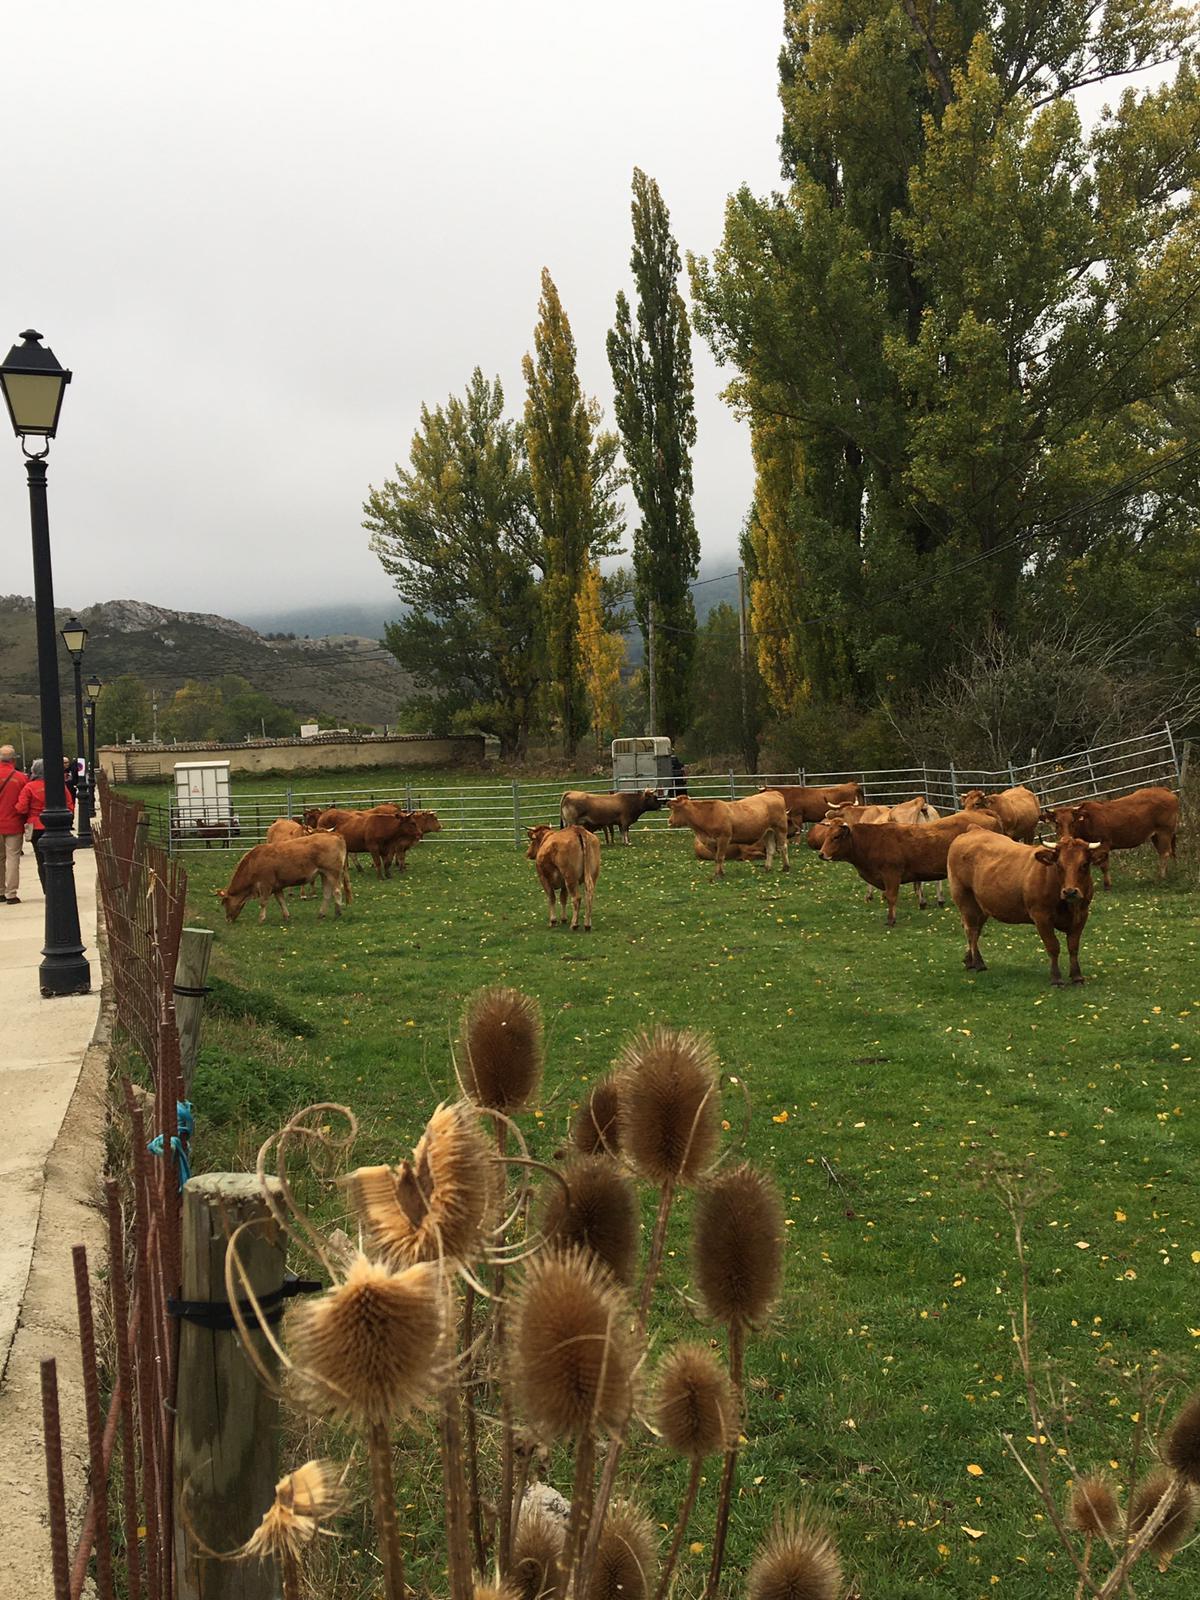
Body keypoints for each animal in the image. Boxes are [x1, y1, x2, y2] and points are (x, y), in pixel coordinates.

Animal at [214, 825, 350, 928]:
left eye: (224, 902)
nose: (227, 919)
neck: (254, 862)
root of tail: (334, 835)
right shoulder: (277, 886)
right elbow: (281, 901)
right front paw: (286, 916)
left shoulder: (265, 885)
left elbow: (263, 902)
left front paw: (261, 918)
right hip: (324, 874)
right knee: (327, 894)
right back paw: (321, 914)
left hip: (333, 873)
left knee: (337, 891)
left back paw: (338, 913)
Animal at [825, 812, 998, 928]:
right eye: (826, 835)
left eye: (836, 837)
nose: (822, 854)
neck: (873, 840)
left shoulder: (891, 875)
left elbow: (891, 897)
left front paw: (891, 920)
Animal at [953, 825, 1113, 985]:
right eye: (1059, 865)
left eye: (1084, 864)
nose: (1070, 892)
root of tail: (975, 829)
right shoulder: (1041, 916)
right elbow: (1053, 946)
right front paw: (1056, 978)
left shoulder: (1082, 915)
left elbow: (1073, 947)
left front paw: (1077, 976)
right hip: (965, 899)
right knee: (971, 930)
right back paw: (978, 963)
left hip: (982, 906)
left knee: (976, 930)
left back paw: (969, 961)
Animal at [1043, 787, 1184, 889]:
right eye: (1056, 822)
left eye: (1072, 821)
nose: (1065, 837)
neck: (1087, 821)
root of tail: (1165, 790)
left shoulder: (1103, 845)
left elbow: (1104, 865)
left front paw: (1107, 885)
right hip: (1158, 835)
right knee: (1171, 852)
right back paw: (1175, 871)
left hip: (1164, 832)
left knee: (1165, 853)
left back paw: (1161, 877)